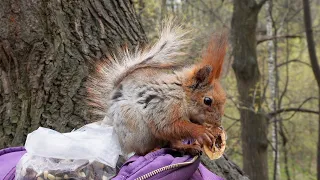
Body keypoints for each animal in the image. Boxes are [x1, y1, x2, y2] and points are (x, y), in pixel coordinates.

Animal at [87, 21, 228, 155]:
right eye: (207, 100)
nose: (218, 123)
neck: (182, 94)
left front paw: (212, 130)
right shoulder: (166, 105)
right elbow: (169, 125)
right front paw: (201, 131)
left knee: (171, 143)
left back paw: (186, 147)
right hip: (136, 127)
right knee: (142, 150)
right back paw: (151, 150)